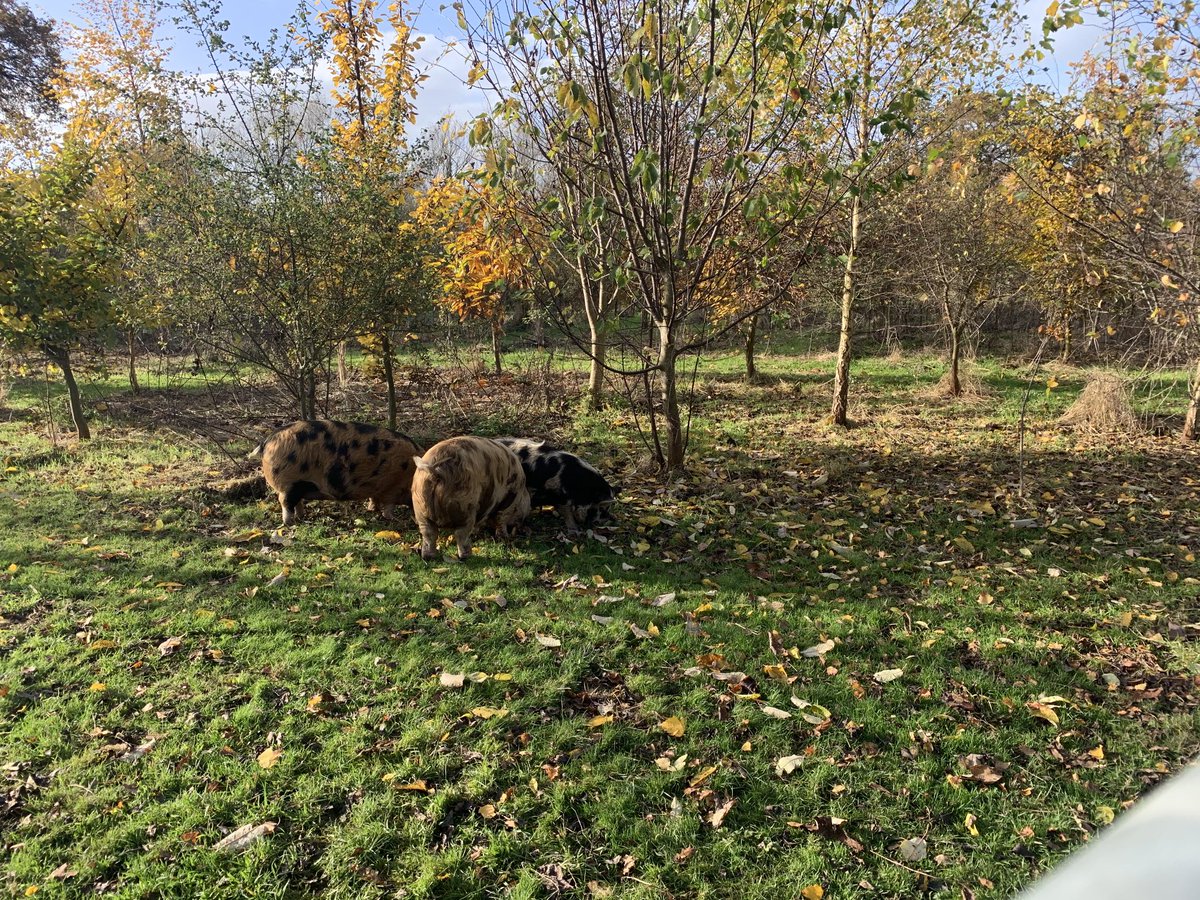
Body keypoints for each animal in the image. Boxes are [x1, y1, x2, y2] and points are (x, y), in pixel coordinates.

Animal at [249, 420, 420, 526]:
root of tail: (266, 441)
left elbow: (375, 500)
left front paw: (372, 509)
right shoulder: (392, 488)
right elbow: (389, 506)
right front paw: (392, 518)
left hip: (296, 485)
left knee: (296, 502)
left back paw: (301, 516)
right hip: (289, 482)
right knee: (285, 502)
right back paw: (290, 522)